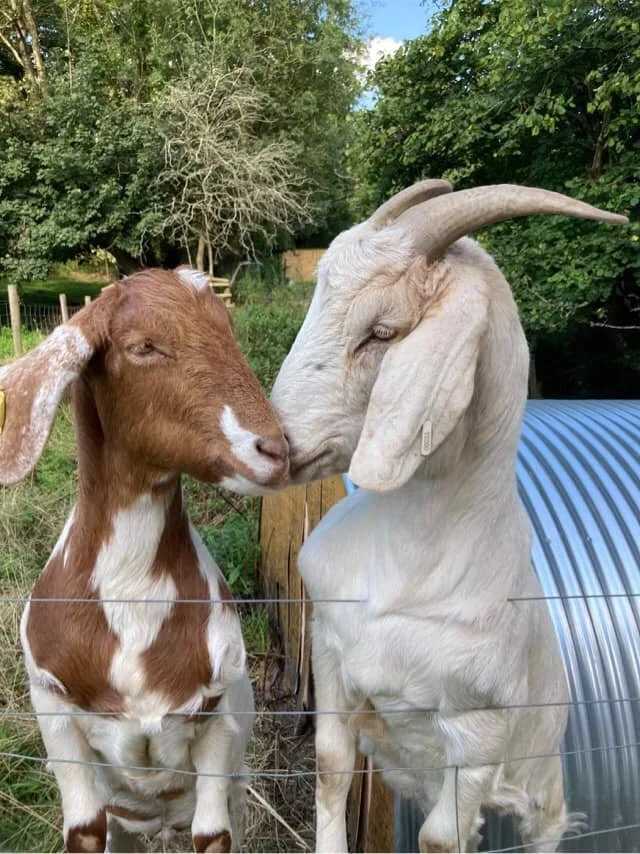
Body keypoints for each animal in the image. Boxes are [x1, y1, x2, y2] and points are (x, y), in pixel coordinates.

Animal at [0, 267, 289, 853]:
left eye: (228, 330)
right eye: (143, 347)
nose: (275, 450)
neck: (133, 594)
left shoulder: (218, 719)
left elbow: (213, 835)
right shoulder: (52, 711)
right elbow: (83, 830)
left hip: (238, 781)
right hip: (125, 817)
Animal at [270, 183, 628, 853]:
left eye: (382, 331)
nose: (274, 443)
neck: (404, 571)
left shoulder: (477, 732)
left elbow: (439, 839)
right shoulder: (330, 650)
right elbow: (331, 767)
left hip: (541, 788)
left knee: (540, 830)